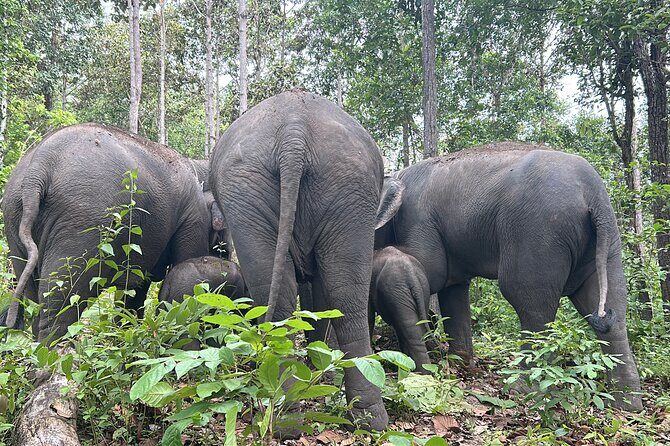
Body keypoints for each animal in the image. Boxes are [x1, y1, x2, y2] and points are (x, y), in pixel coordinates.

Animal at [1, 123, 223, 342]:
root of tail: (39, 167)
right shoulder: (193, 217)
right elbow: (187, 269)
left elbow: (135, 287)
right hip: (84, 221)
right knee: (62, 296)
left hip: (13, 216)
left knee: (34, 295)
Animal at [209, 90, 402, 430]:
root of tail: (294, 131)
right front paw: (317, 360)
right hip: (332, 185)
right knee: (341, 293)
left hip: (277, 187)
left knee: (302, 292)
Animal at [375, 141, 643, 411]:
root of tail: (594, 196)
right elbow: (454, 289)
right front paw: (461, 363)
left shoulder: (418, 220)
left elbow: (434, 271)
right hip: (605, 242)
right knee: (610, 306)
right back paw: (627, 404)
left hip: (538, 231)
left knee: (530, 303)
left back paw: (523, 388)